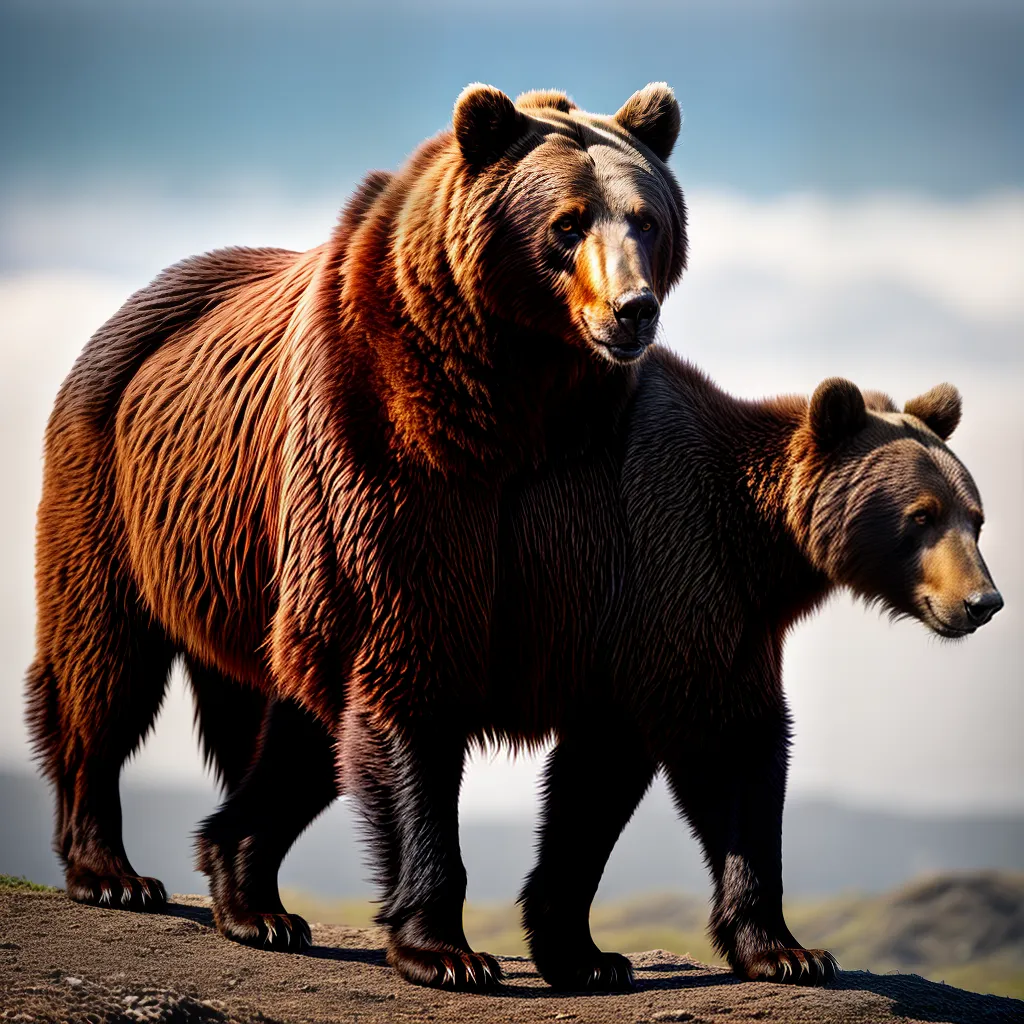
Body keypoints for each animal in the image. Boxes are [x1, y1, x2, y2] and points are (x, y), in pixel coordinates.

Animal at [26, 83, 689, 990]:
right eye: (566, 221)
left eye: (647, 218)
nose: (632, 309)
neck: (511, 398)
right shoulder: (389, 457)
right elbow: (407, 669)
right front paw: (446, 950)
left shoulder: (581, 492)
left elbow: (608, 703)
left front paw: (587, 954)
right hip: (117, 491)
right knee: (104, 662)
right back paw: (112, 871)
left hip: (239, 561)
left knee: (281, 724)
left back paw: (255, 901)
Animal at [200, 347, 1001, 991]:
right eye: (921, 515)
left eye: (976, 516)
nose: (983, 601)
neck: (759, 548)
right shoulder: (656, 569)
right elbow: (651, 761)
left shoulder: (719, 627)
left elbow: (725, 760)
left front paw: (780, 951)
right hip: (405, 582)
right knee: (403, 730)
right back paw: (440, 951)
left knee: (312, 746)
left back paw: (252, 900)